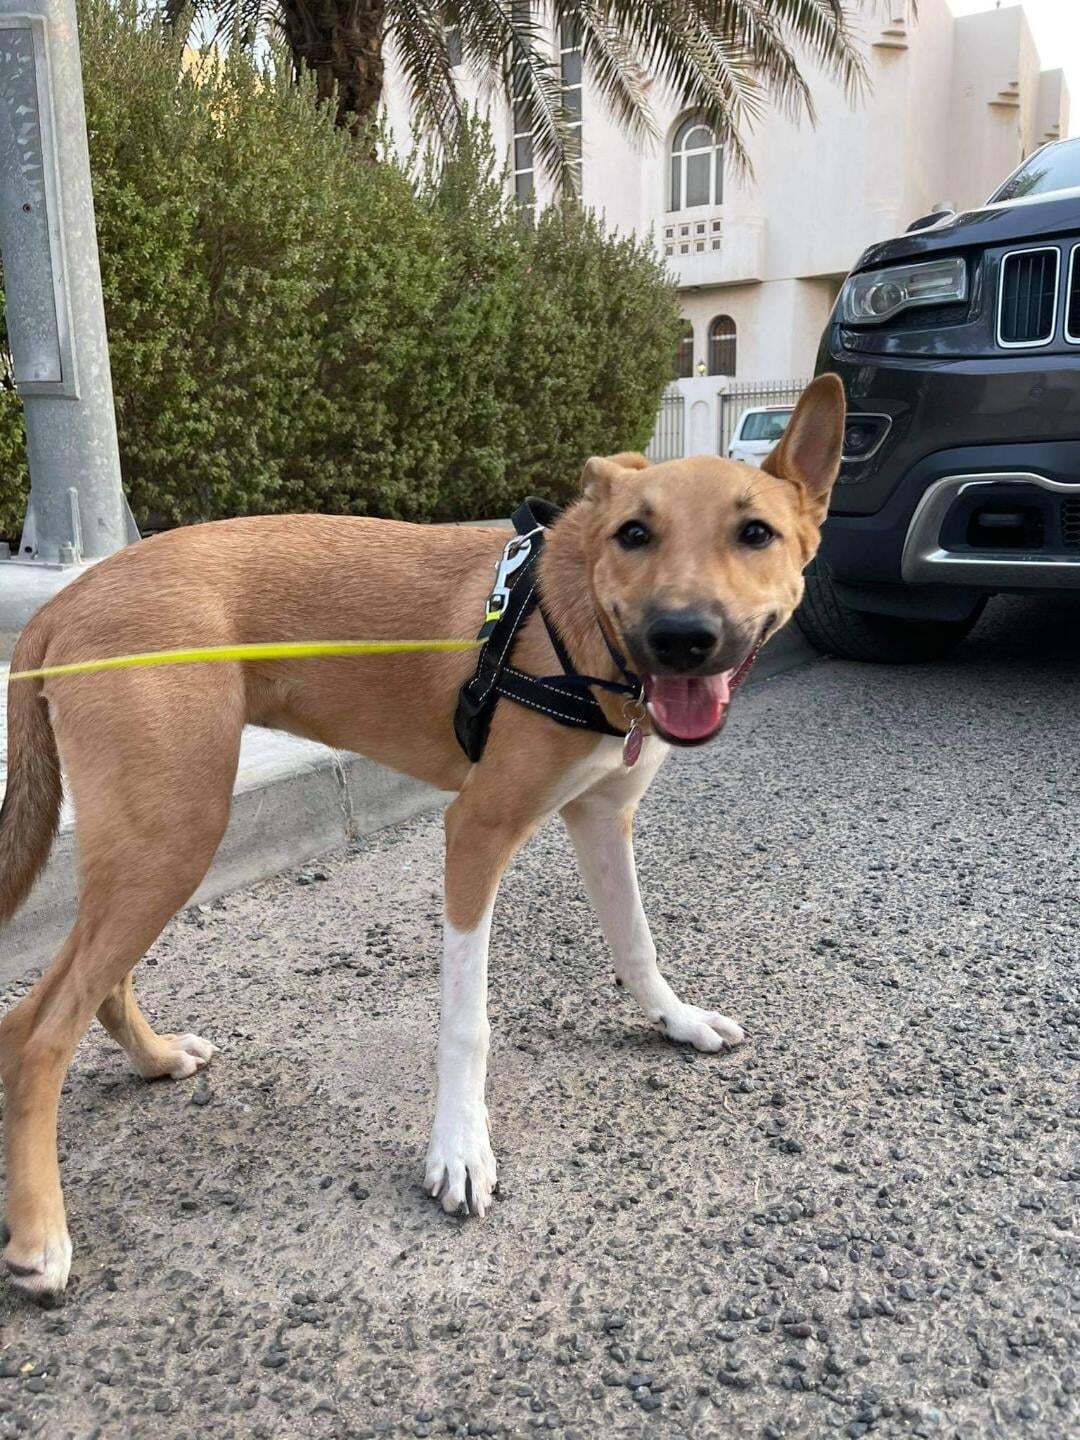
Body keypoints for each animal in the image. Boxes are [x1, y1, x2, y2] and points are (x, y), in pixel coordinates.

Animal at [0, 371, 846, 1296]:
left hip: (156, 839)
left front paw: (676, 1020)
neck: (573, 617)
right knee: (37, 1030)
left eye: (756, 533)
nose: (682, 638)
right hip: (173, 834)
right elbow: (468, 1023)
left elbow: (636, 944)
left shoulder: (601, 818)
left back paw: (153, 1062)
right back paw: (40, 1228)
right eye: (635, 534)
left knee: (90, 989)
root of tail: (64, 598)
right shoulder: (475, 831)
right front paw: (460, 1150)